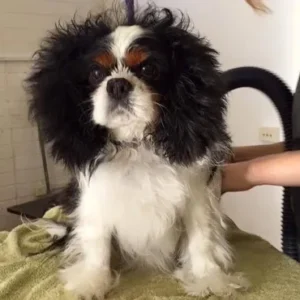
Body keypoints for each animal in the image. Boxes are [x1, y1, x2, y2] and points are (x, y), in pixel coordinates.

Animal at [27, 5, 248, 300]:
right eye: (96, 73)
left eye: (148, 68)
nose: (117, 84)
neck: (136, 145)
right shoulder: (95, 198)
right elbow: (96, 241)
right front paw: (92, 281)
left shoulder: (197, 196)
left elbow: (201, 236)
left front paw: (208, 278)